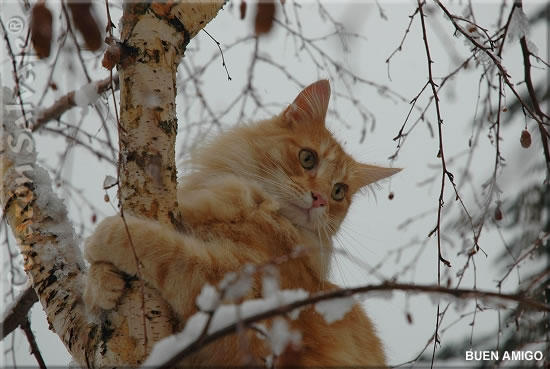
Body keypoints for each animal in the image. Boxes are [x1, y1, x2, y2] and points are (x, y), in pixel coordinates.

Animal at [84, 80, 398, 366]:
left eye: (338, 192)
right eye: (308, 159)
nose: (320, 199)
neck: (257, 209)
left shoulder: (237, 295)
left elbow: (167, 251)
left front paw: (105, 235)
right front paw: (101, 285)